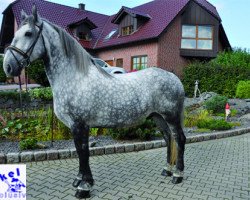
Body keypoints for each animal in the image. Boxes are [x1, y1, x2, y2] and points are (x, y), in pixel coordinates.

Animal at [2, 6, 186, 198]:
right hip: (158, 117)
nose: (8, 67)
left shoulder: (80, 125)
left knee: (179, 139)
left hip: (171, 116)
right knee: (168, 138)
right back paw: (167, 170)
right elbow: (79, 151)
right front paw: (79, 180)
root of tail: (174, 78)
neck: (74, 77)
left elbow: (83, 152)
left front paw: (84, 187)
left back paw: (177, 175)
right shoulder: (76, 126)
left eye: (28, 33)